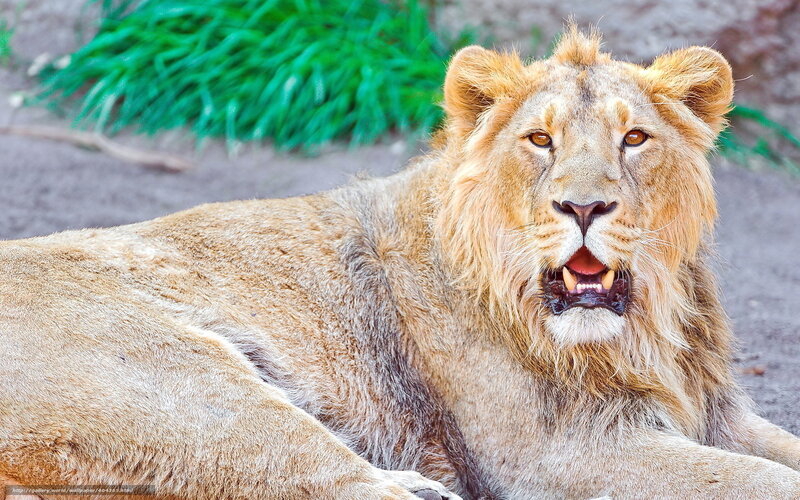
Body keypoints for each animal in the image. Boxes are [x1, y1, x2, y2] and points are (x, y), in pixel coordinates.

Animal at [2, 26, 800, 499]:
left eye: (634, 138)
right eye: (539, 140)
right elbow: (758, 482)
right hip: (179, 381)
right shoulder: (561, 454)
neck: (645, 330)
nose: (583, 208)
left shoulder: (719, 418)